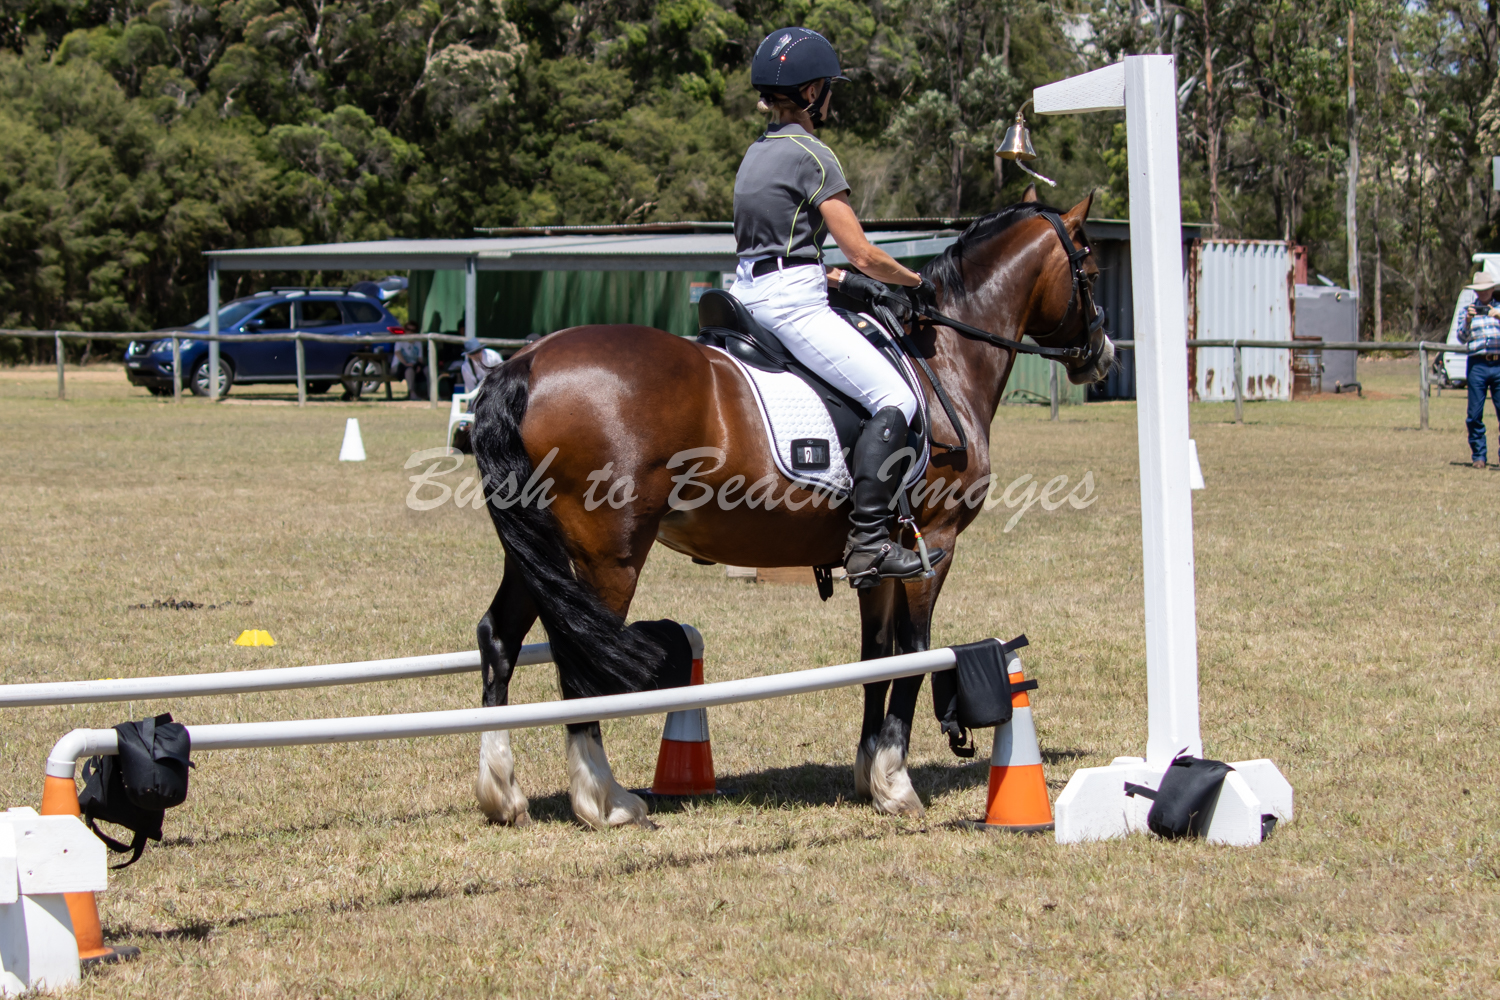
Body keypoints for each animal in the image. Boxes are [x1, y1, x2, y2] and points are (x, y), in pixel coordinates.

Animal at [468, 190, 1111, 828]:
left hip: (540, 552)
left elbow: (874, 656)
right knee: (580, 656)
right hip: (609, 556)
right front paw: (897, 784)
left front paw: (869, 776)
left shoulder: (879, 561)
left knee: (499, 638)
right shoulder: (934, 544)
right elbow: (912, 655)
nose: (1102, 356)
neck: (942, 361)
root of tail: (523, 364)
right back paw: (604, 800)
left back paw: (504, 793)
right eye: (1091, 268)